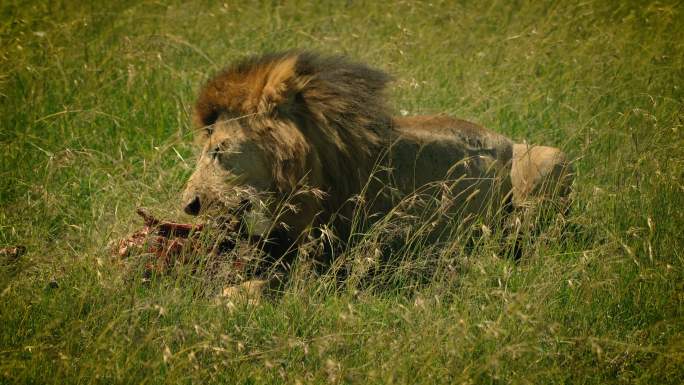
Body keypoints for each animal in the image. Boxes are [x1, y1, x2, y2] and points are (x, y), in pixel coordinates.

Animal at [180, 51, 572, 296]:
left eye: (219, 150)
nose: (189, 205)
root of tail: (502, 136)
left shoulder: (345, 260)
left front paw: (231, 295)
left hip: (551, 159)